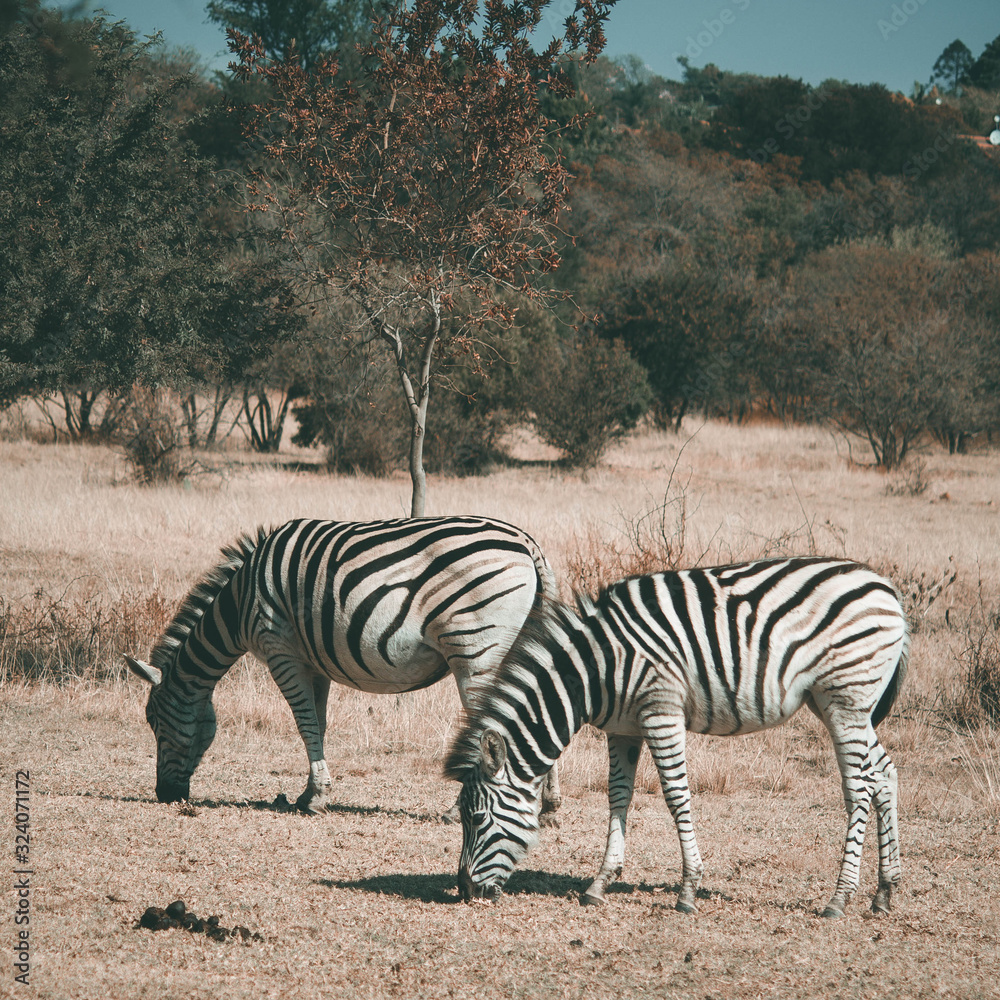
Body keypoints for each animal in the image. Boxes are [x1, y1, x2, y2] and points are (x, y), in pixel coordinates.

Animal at [126, 515, 562, 819]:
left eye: (153, 720)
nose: (165, 795)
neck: (239, 602)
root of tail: (527, 543)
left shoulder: (281, 650)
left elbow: (304, 723)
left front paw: (316, 797)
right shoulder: (313, 662)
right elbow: (317, 723)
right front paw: (308, 792)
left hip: (476, 648)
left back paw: (461, 809)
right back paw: (549, 806)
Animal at [445, 556, 909, 918]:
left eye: (477, 819)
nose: (465, 891)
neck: (596, 668)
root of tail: (885, 587)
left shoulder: (661, 712)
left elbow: (675, 796)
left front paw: (688, 889)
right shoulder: (623, 729)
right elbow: (618, 797)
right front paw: (600, 883)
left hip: (845, 699)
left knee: (859, 788)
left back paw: (840, 898)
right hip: (839, 704)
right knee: (884, 774)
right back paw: (884, 892)